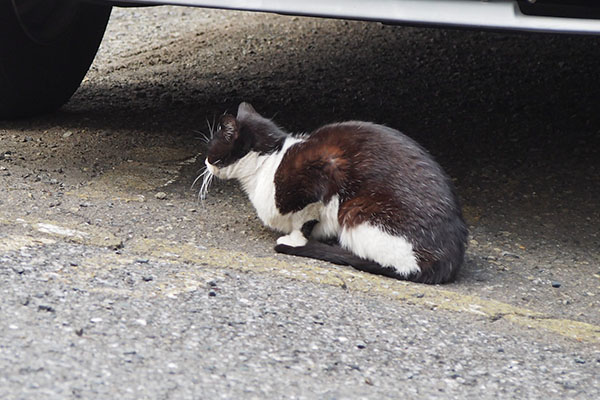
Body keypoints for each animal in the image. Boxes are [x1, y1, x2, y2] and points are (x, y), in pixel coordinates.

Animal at [202, 103, 468, 284]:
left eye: (211, 148)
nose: (204, 162)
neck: (269, 161)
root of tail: (447, 260)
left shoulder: (323, 170)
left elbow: (305, 218)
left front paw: (296, 239)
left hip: (357, 211)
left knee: (399, 265)